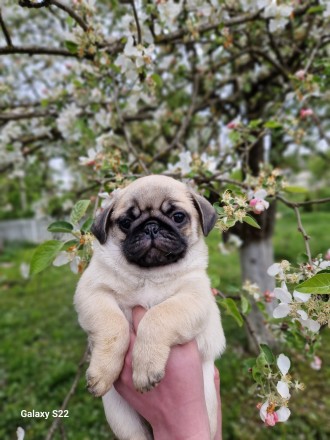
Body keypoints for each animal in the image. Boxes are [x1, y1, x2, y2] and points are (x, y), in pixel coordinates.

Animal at [73, 175, 226, 440]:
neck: (149, 274)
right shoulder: (93, 290)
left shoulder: (194, 296)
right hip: (123, 419)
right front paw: (102, 371)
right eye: (126, 222)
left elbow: (157, 316)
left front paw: (145, 366)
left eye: (178, 216)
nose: (151, 227)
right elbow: (113, 325)